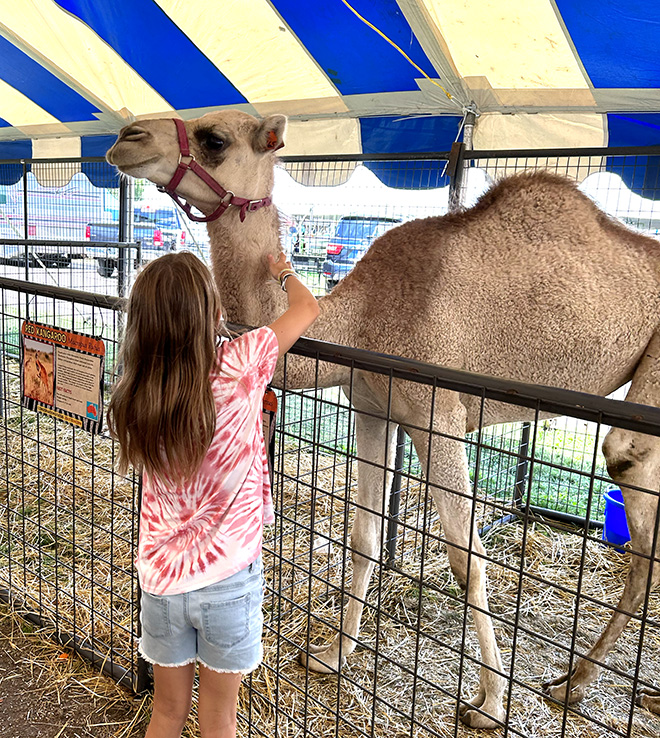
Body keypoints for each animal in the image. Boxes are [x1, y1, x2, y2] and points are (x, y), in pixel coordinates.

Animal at [107, 112, 660, 728]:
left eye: (214, 139)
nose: (125, 137)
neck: (361, 317)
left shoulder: (438, 412)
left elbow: (468, 559)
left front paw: (491, 705)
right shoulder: (372, 405)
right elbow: (365, 533)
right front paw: (330, 655)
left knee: (634, 490)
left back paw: (577, 685)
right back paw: (580, 684)